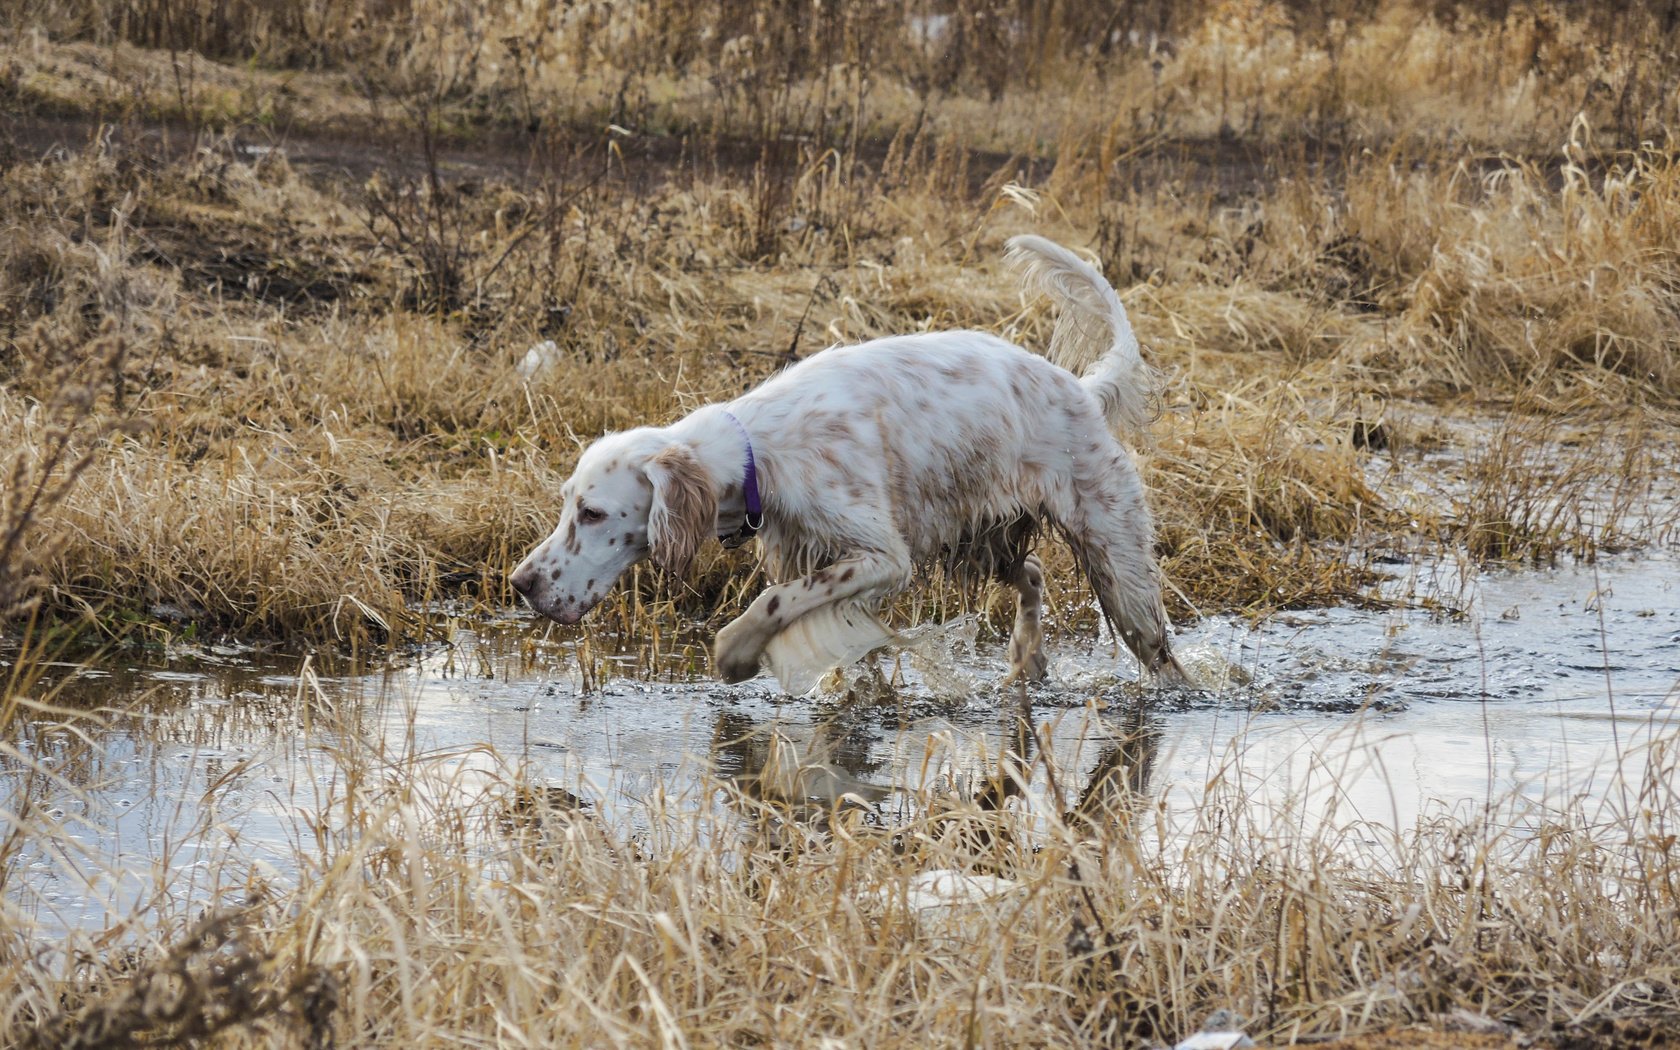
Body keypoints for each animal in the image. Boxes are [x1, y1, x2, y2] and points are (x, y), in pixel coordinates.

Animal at [510, 240, 1182, 695]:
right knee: (1035, 571)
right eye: (568, 503)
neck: (758, 452)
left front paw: (736, 652)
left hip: (1117, 565)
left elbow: (775, 601)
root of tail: (1083, 390)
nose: (521, 583)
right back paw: (1027, 659)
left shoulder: (883, 557)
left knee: (1158, 649)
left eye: (593, 513)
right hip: (981, 542)